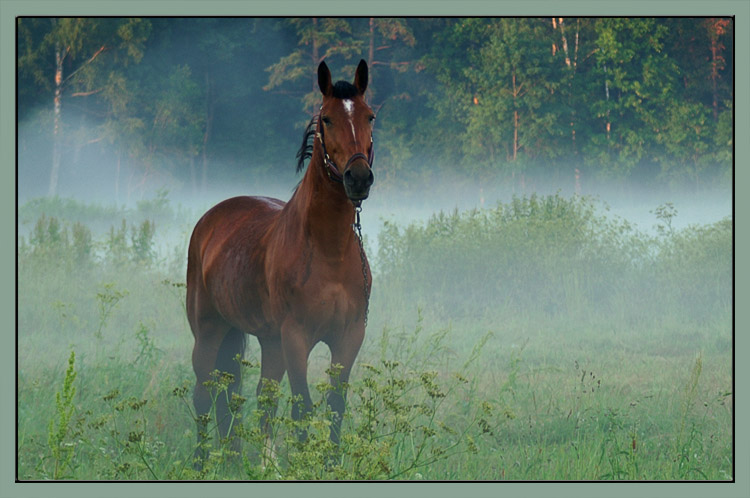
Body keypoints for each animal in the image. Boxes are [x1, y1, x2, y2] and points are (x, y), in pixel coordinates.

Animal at [188, 59, 376, 466]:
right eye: (326, 119)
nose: (358, 178)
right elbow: (302, 406)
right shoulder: (296, 337)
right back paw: (200, 463)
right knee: (205, 393)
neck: (329, 252)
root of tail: (211, 220)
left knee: (258, 396)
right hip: (209, 330)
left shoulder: (349, 336)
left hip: (267, 339)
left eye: (370, 116)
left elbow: (334, 406)